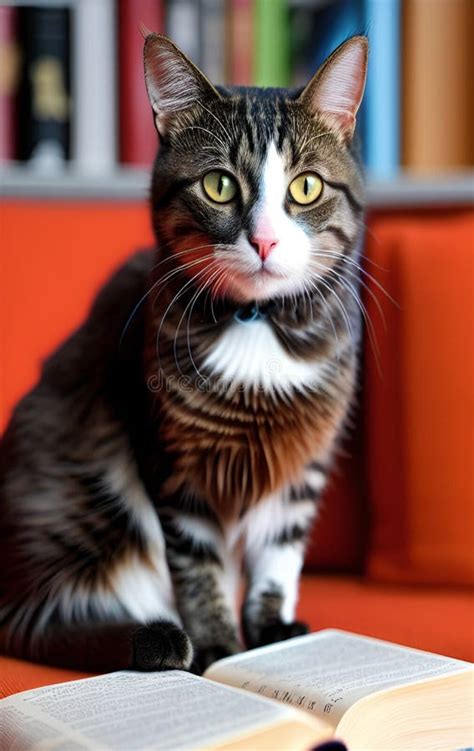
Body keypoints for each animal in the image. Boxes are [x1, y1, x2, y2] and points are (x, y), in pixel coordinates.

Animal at [0, 32, 366, 672]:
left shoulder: (303, 463)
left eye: (306, 187)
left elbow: (279, 555)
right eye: (219, 185)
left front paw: (273, 635)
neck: (257, 322)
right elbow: (200, 568)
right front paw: (218, 651)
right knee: (38, 620)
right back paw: (157, 639)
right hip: (79, 499)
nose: (264, 240)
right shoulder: (173, 469)